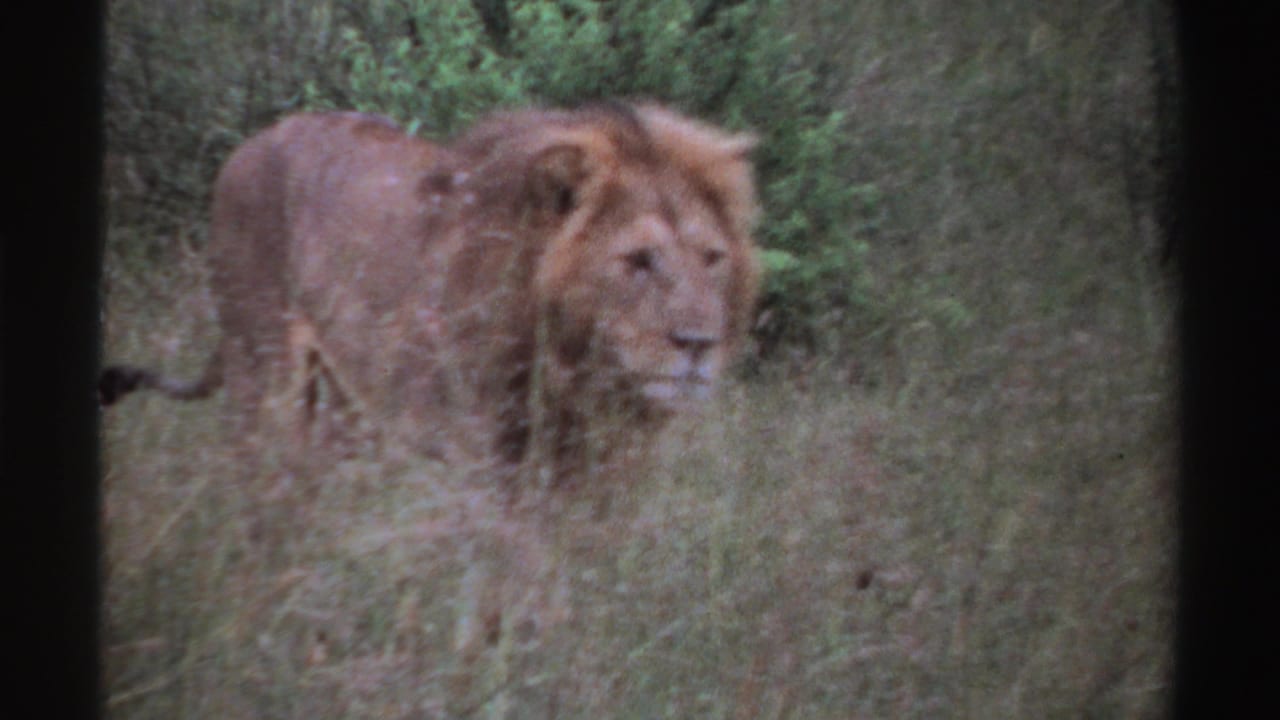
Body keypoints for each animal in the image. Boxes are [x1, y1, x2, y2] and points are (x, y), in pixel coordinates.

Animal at [100, 103, 761, 479]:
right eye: (638, 261)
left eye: (712, 259)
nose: (698, 344)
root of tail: (249, 144)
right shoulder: (487, 455)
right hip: (261, 374)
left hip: (343, 395)